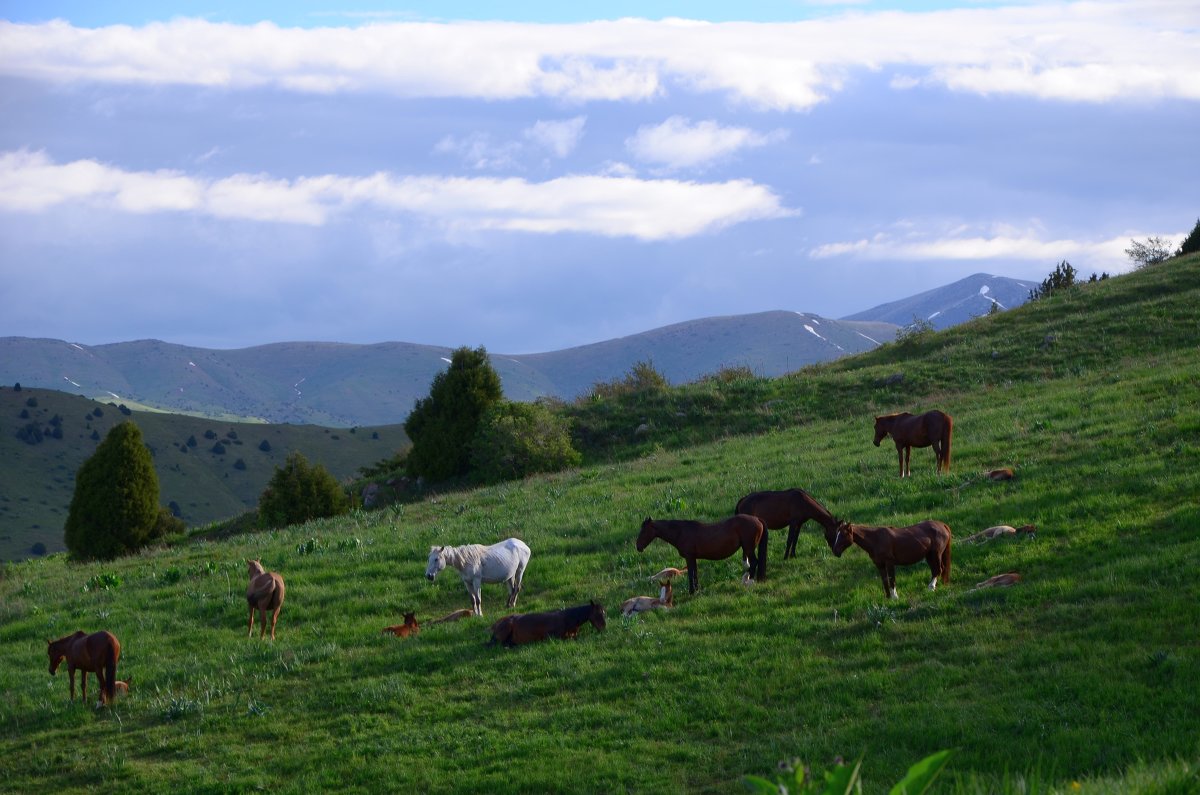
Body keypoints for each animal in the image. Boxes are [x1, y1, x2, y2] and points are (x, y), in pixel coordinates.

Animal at [633, 513, 763, 595]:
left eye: (644, 531)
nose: (638, 546)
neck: (680, 532)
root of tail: (758, 520)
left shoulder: (689, 557)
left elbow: (691, 574)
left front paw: (691, 591)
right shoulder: (693, 558)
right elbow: (695, 573)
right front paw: (696, 589)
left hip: (749, 548)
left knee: (754, 562)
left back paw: (749, 581)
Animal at [820, 521, 950, 600]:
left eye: (843, 535)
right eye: (837, 534)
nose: (835, 551)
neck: (876, 539)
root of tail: (943, 525)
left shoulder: (889, 563)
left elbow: (892, 579)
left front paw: (895, 596)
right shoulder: (879, 565)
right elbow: (885, 580)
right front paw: (887, 597)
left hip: (935, 554)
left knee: (938, 569)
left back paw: (931, 587)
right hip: (929, 556)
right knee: (937, 570)